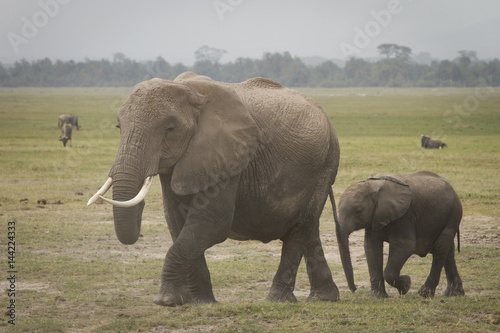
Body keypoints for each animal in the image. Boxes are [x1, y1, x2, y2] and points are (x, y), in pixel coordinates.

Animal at [88, 72, 342, 306]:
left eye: (170, 128)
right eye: (118, 126)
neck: (191, 92)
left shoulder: (230, 158)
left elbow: (211, 223)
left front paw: (165, 301)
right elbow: (178, 223)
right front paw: (200, 303)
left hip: (325, 164)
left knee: (300, 226)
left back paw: (277, 301)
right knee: (309, 227)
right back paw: (324, 298)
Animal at [336, 170, 464, 296]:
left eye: (358, 211)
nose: (355, 289)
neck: (372, 186)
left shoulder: (405, 217)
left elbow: (405, 246)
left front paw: (406, 284)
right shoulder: (374, 219)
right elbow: (371, 248)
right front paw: (378, 297)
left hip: (454, 213)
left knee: (441, 246)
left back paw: (425, 293)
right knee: (448, 250)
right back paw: (453, 294)